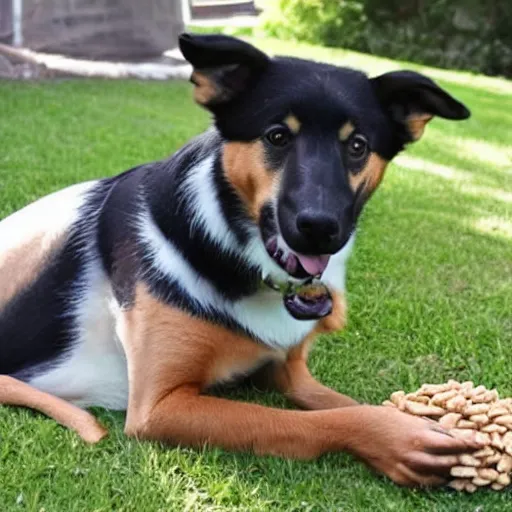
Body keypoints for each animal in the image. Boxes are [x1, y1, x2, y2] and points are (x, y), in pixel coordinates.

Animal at [0, 34, 480, 486]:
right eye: (277, 136)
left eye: (358, 145)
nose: (320, 227)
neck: (239, 256)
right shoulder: (159, 406)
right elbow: (304, 421)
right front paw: (397, 437)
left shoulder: (289, 371)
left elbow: (338, 402)